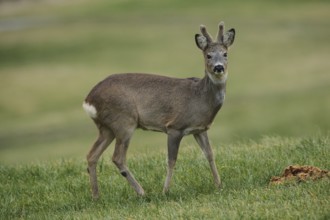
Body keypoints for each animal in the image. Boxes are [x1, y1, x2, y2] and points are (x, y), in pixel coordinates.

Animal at [84, 21, 236, 199]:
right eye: (208, 55)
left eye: (225, 54)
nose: (218, 68)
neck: (200, 98)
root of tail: (88, 100)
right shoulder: (175, 127)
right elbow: (171, 160)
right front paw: (165, 191)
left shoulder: (200, 129)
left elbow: (210, 154)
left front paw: (219, 185)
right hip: (124, 120)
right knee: (118, 157)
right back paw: (142, 192)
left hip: (106, 127)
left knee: (92, 155)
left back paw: (96, 196)